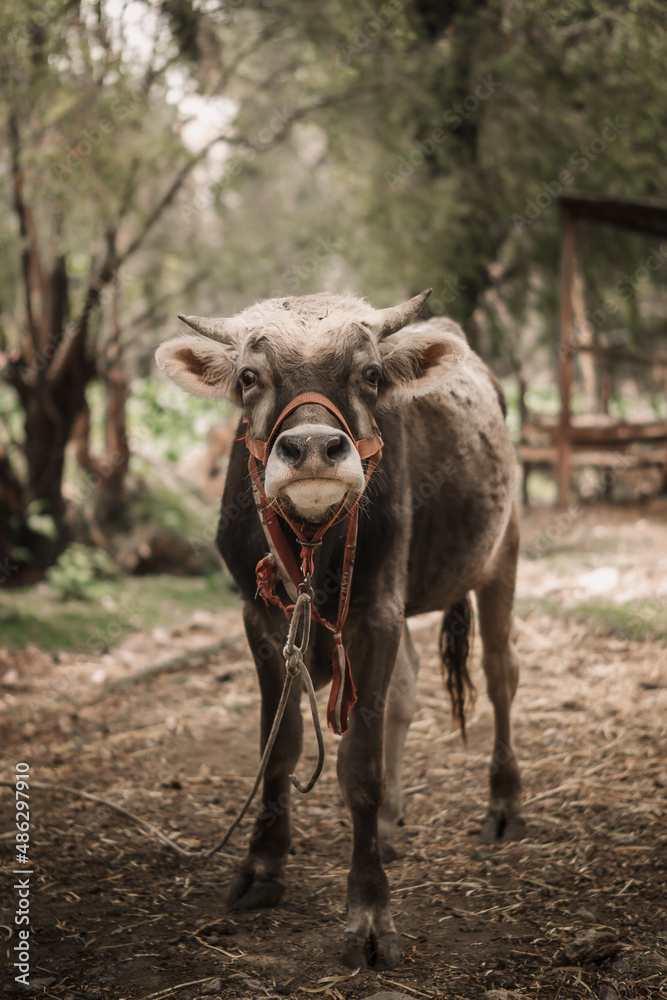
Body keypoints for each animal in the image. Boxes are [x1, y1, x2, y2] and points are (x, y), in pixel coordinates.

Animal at [155, 289, 524, 970]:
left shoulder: (375, 612)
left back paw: (505, 804)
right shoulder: (261, 618)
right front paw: (262, 869)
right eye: (249, 377)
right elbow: (279, 749)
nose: (311, 450)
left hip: (501, 551)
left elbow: (360, 768)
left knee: (500, 674)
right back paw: (390, 826)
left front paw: (370, 912)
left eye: (370, 374)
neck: (312, 543)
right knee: (407, 687)